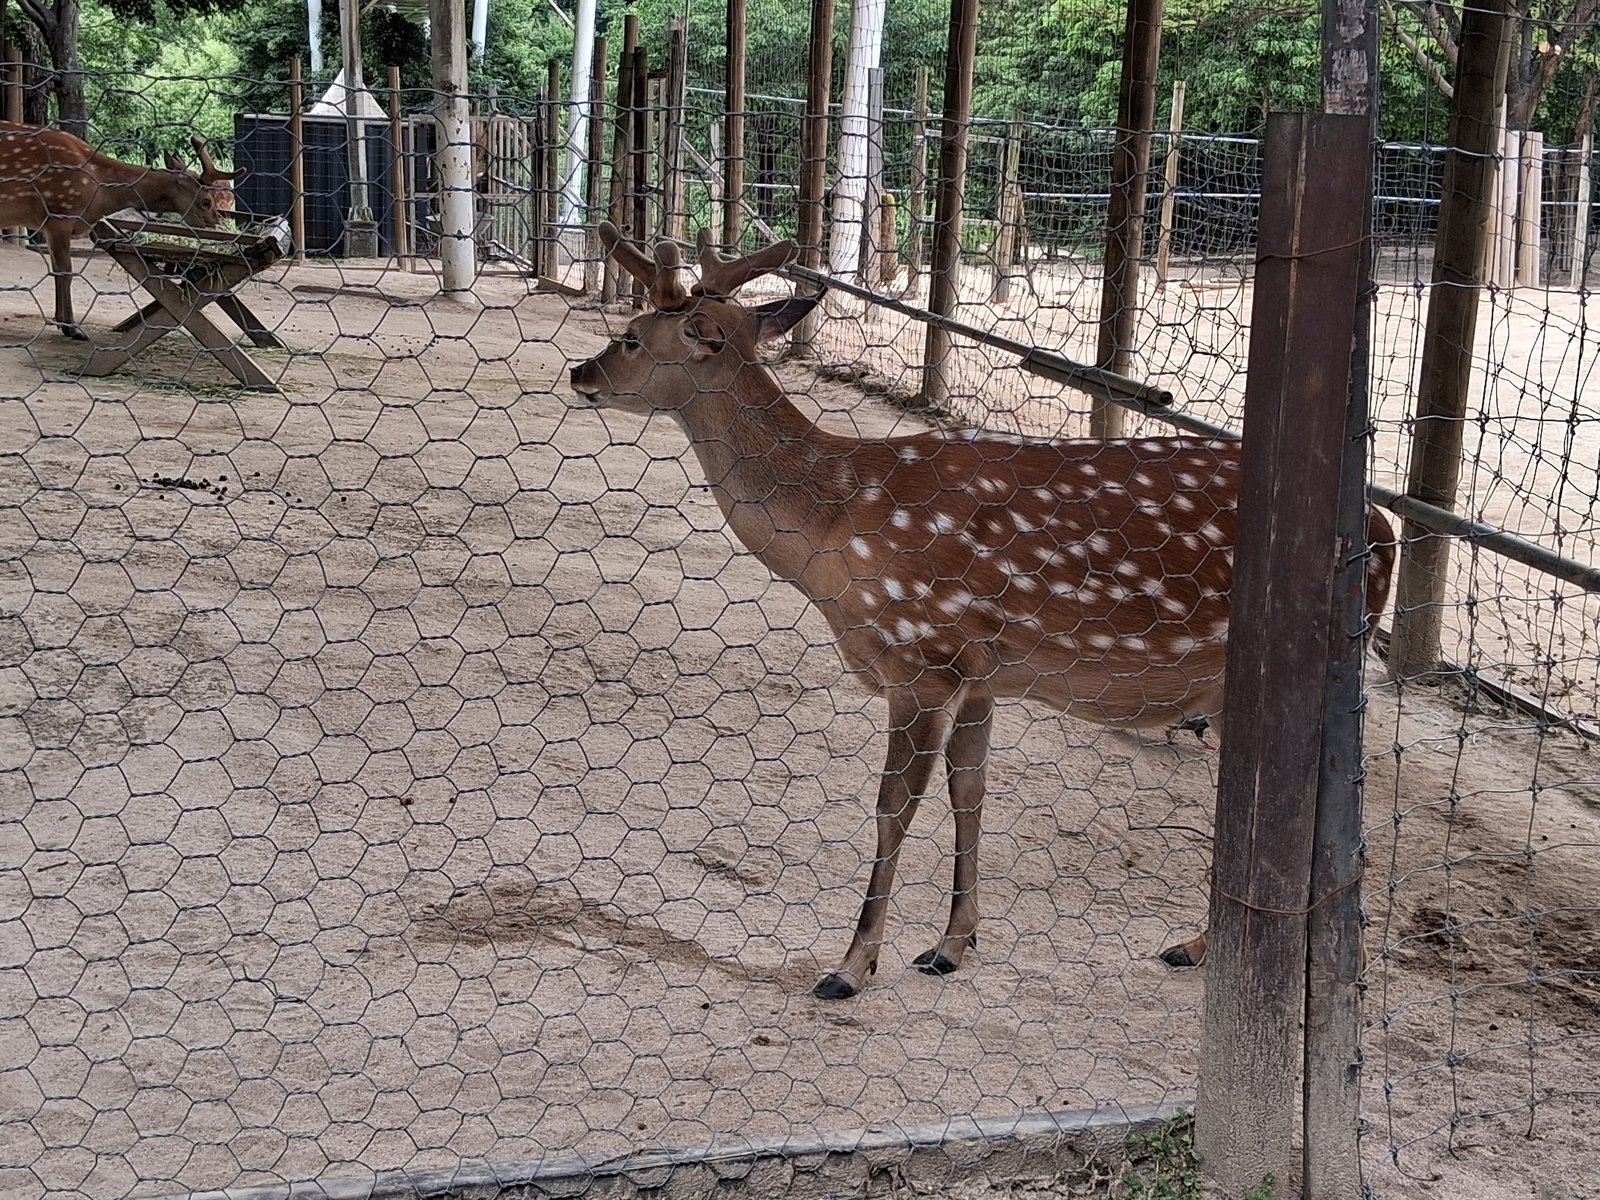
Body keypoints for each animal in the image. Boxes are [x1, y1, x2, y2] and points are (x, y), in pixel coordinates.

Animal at [0, 123, 245, 339]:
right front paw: (72, 328)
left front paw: (63, 323)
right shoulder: (60, 214)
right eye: (206, 201)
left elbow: (57, 272)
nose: (218, 226)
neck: (100, 193)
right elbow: (65, 273)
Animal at [569, 222, 1398, 1000]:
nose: (581, 372)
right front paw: (951, 944)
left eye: (632, 335)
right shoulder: (982, 675)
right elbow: (969, 790)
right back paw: (1203, 947)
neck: (834, 530)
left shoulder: (921, 657)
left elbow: (893, 806)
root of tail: (1384, 530)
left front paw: (852, 965)